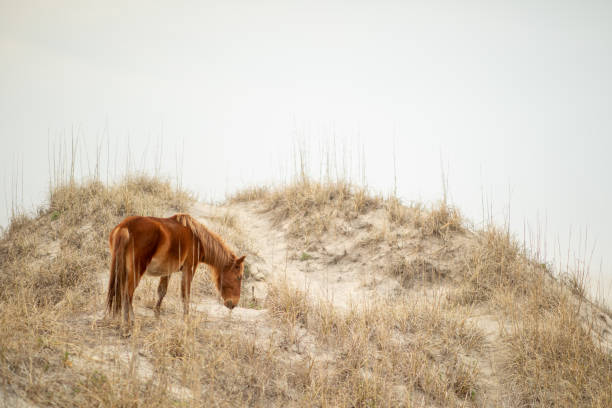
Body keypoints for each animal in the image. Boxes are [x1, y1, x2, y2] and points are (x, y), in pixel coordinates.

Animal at [106, 214, 245, 326]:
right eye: (239, 277)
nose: (233, 304)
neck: (197, 238)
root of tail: (125, 227)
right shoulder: (188, 269)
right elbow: (185, 295)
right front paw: (186, 319)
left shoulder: (167, 272)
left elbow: (162, 291)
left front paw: (157, 315)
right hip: (136, 271)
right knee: (127, 293)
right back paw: (130, 321)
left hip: (122, 269)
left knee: (120, 292)